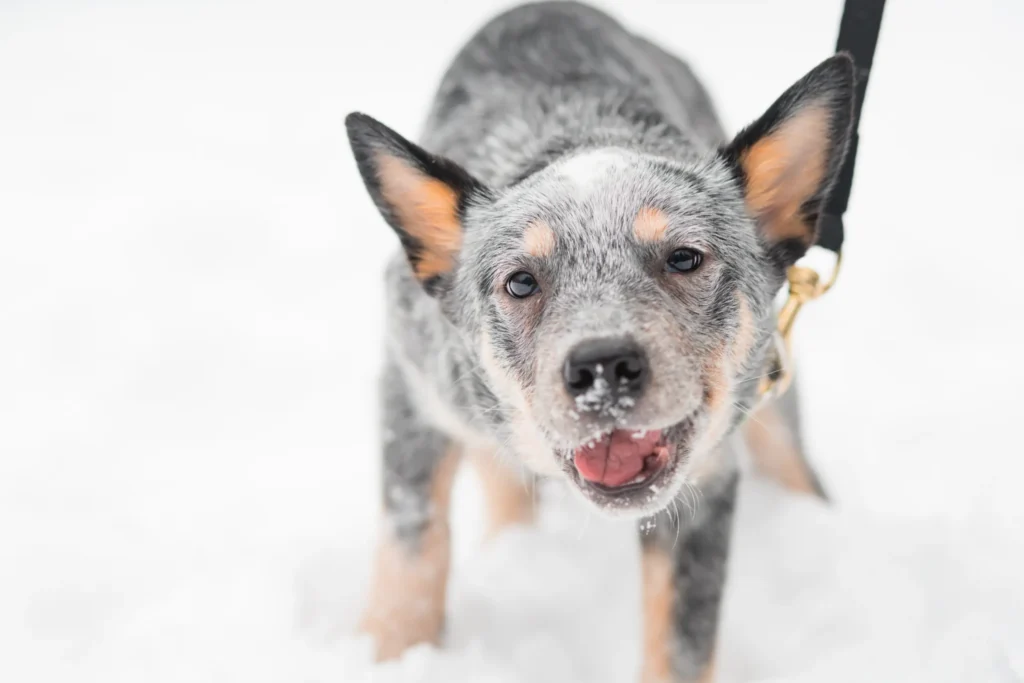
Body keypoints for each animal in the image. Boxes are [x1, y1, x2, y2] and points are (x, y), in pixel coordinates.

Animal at [344, 2, 847, 679]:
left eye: (684, 257)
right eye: (521, 281)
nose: (602, 366)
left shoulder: (707, 480)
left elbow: (682, 644)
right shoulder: (412, 390)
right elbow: (412, 550)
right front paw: (392, 652)